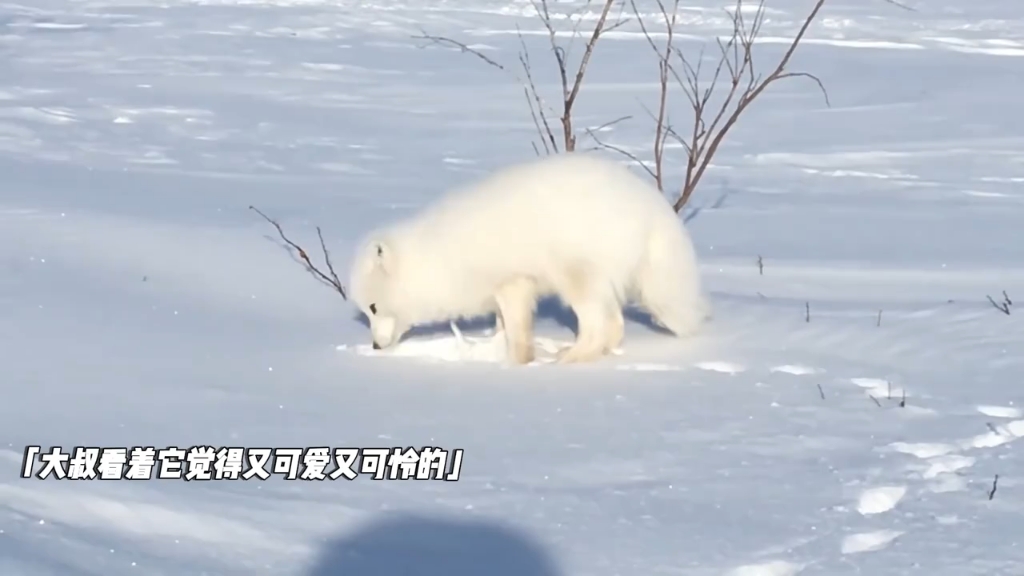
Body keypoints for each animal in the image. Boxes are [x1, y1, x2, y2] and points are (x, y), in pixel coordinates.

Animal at [348, 150, 708, 360]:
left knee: (601, 324)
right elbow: (503, 327)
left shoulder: (514, 282)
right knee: (615, 324)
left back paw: (570, 357)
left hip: (576, 274)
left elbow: (519, 333)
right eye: (366, 313)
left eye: (374, 307)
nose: (375, 346)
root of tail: (653, 208)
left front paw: (519, 364)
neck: (438, 258)